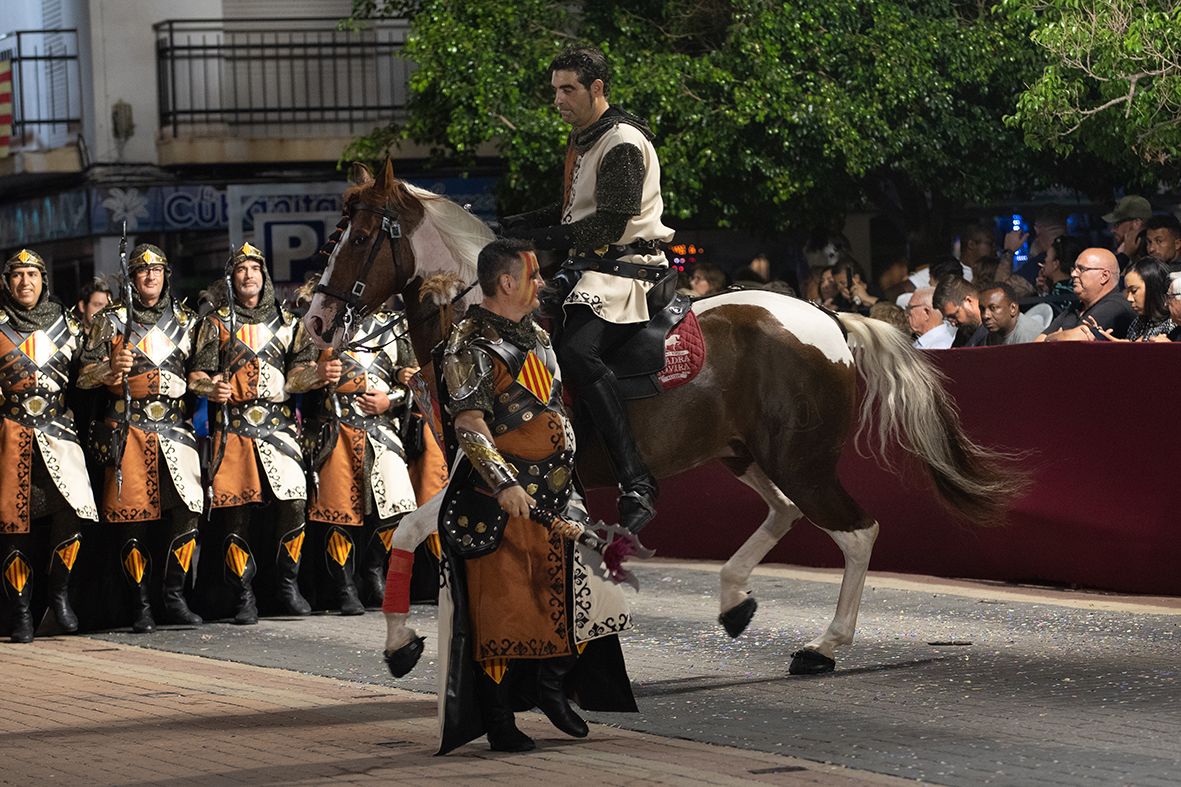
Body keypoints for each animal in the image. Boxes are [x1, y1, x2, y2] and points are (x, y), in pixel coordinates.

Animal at [304, 160, 1025, 675]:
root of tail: (829, 321)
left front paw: (406, 642)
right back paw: (735, 601)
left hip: (800, 459)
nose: (315, 321)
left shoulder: (495, 475)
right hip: (742, 453)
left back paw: (824, 646)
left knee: (856, 532)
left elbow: (412, 530)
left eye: (361, 238)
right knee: (785, 511)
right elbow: (418, 533)